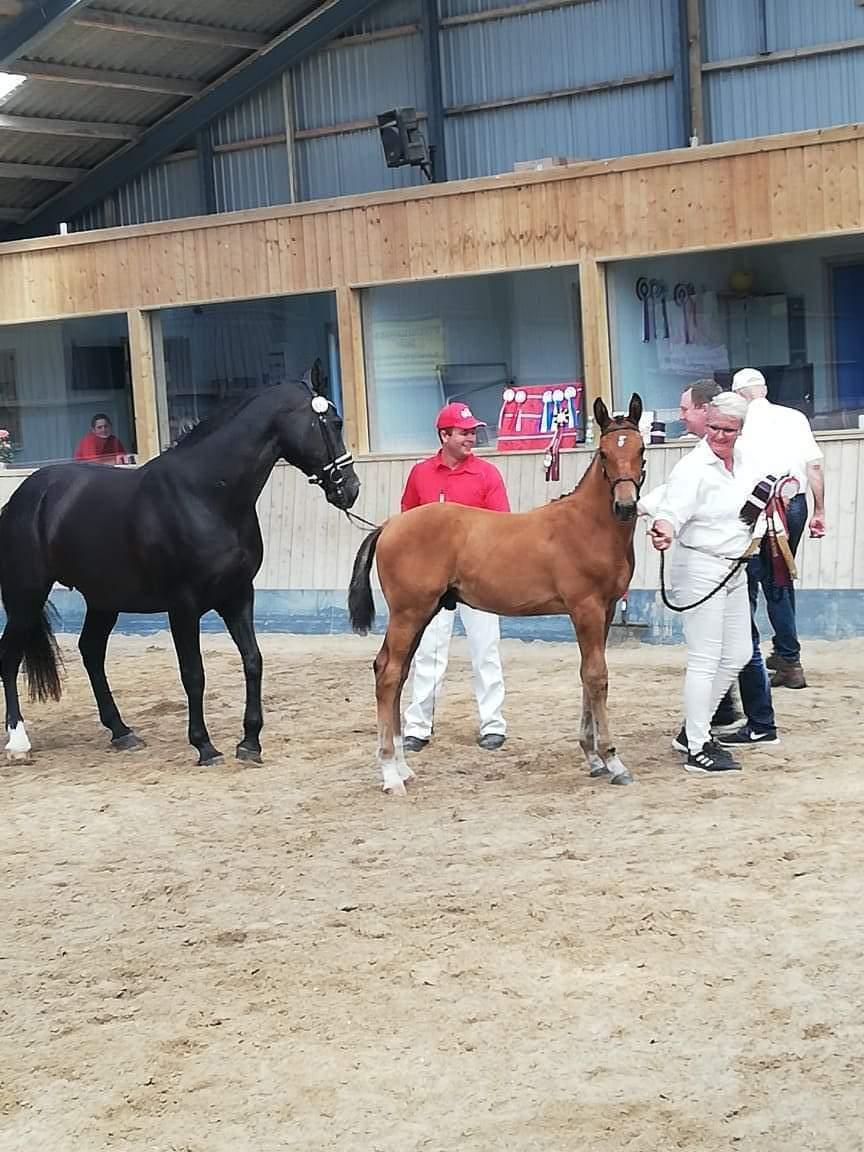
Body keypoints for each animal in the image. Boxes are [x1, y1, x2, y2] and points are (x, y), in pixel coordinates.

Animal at [0, 382, 359, 769]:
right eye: (333, 423)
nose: (351, 488)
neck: (205, 494)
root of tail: (25, 497)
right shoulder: (183, 606)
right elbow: (193, 673)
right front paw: (204, 746)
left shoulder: (238, 596)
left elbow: (253, 661)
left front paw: (250, 742)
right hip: (25, 598)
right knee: (10, 655)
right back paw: (18, 741)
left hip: (103, 600)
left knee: (91, 651)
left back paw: (121, 731)